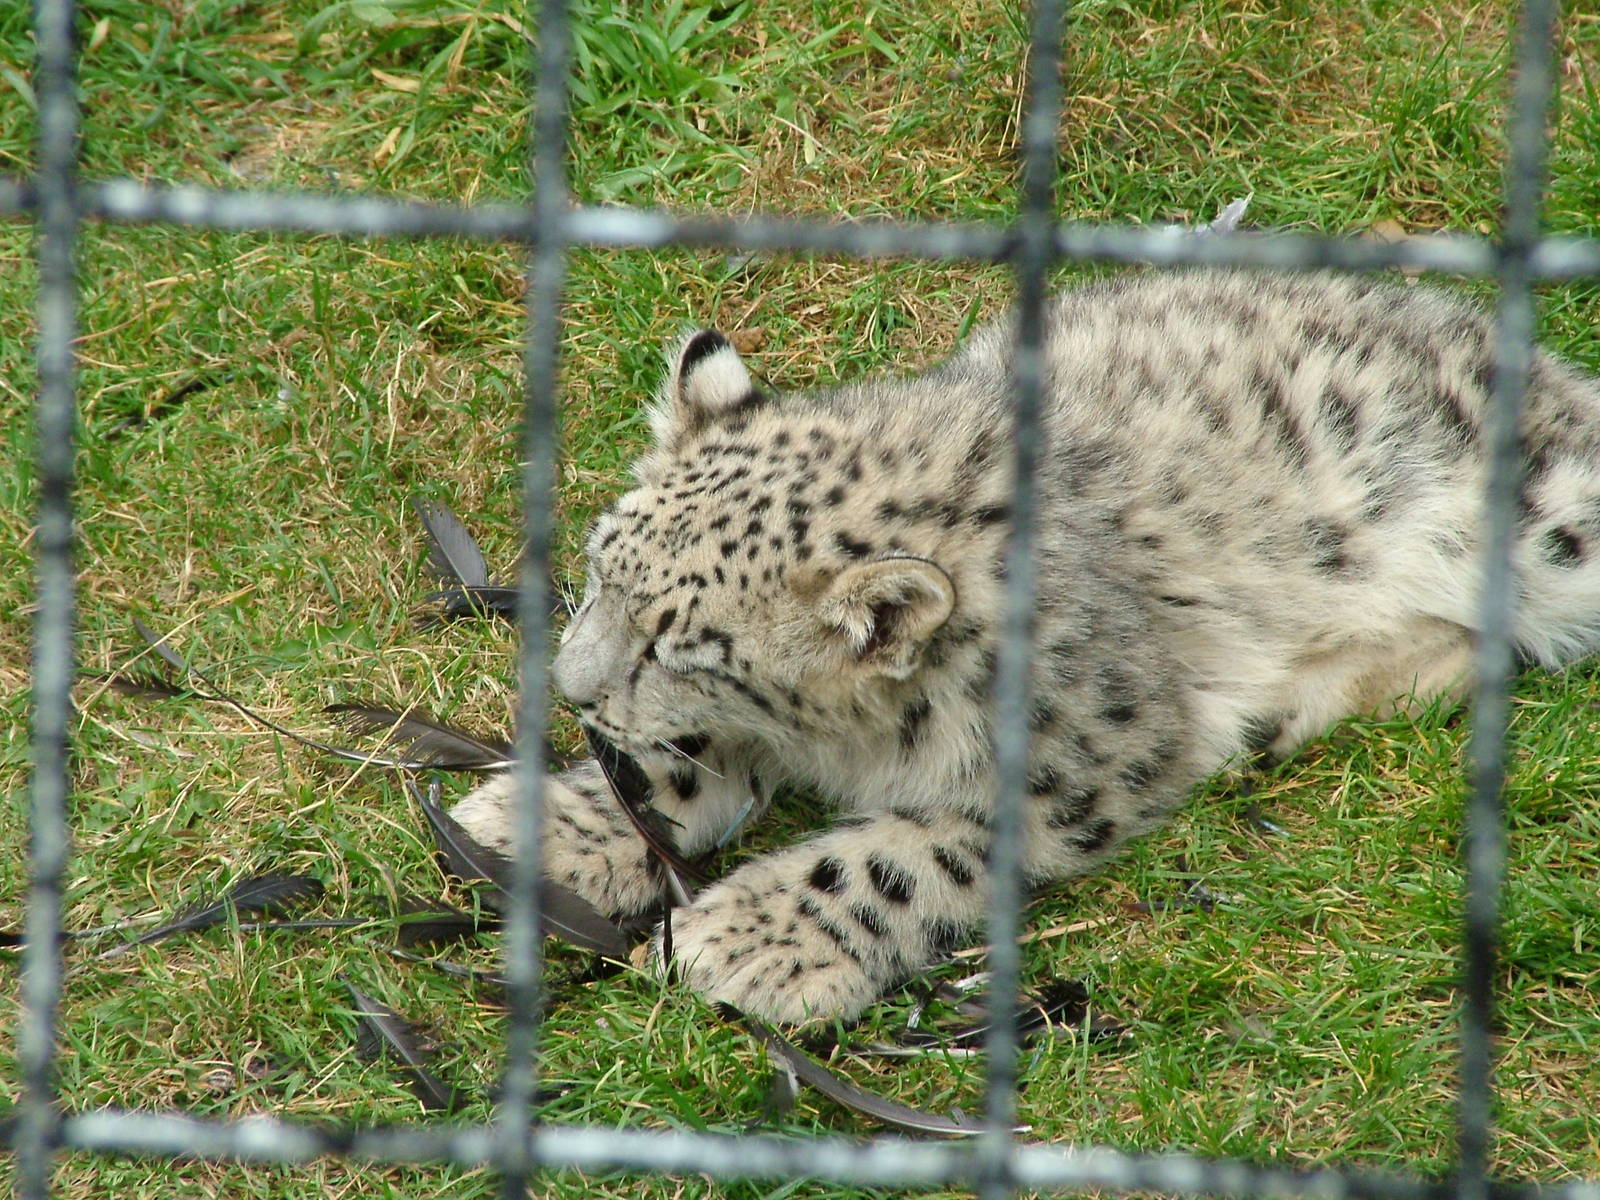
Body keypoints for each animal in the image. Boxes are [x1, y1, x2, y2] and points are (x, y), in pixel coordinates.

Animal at [450, 268, 1600, 1024]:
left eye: (681, 647)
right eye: (602, 570)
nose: (573, 690)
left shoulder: (1081, 765)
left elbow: (897, 858)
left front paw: (748, 940)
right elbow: (679, 771)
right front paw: (537, 820)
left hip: (1553, 525)